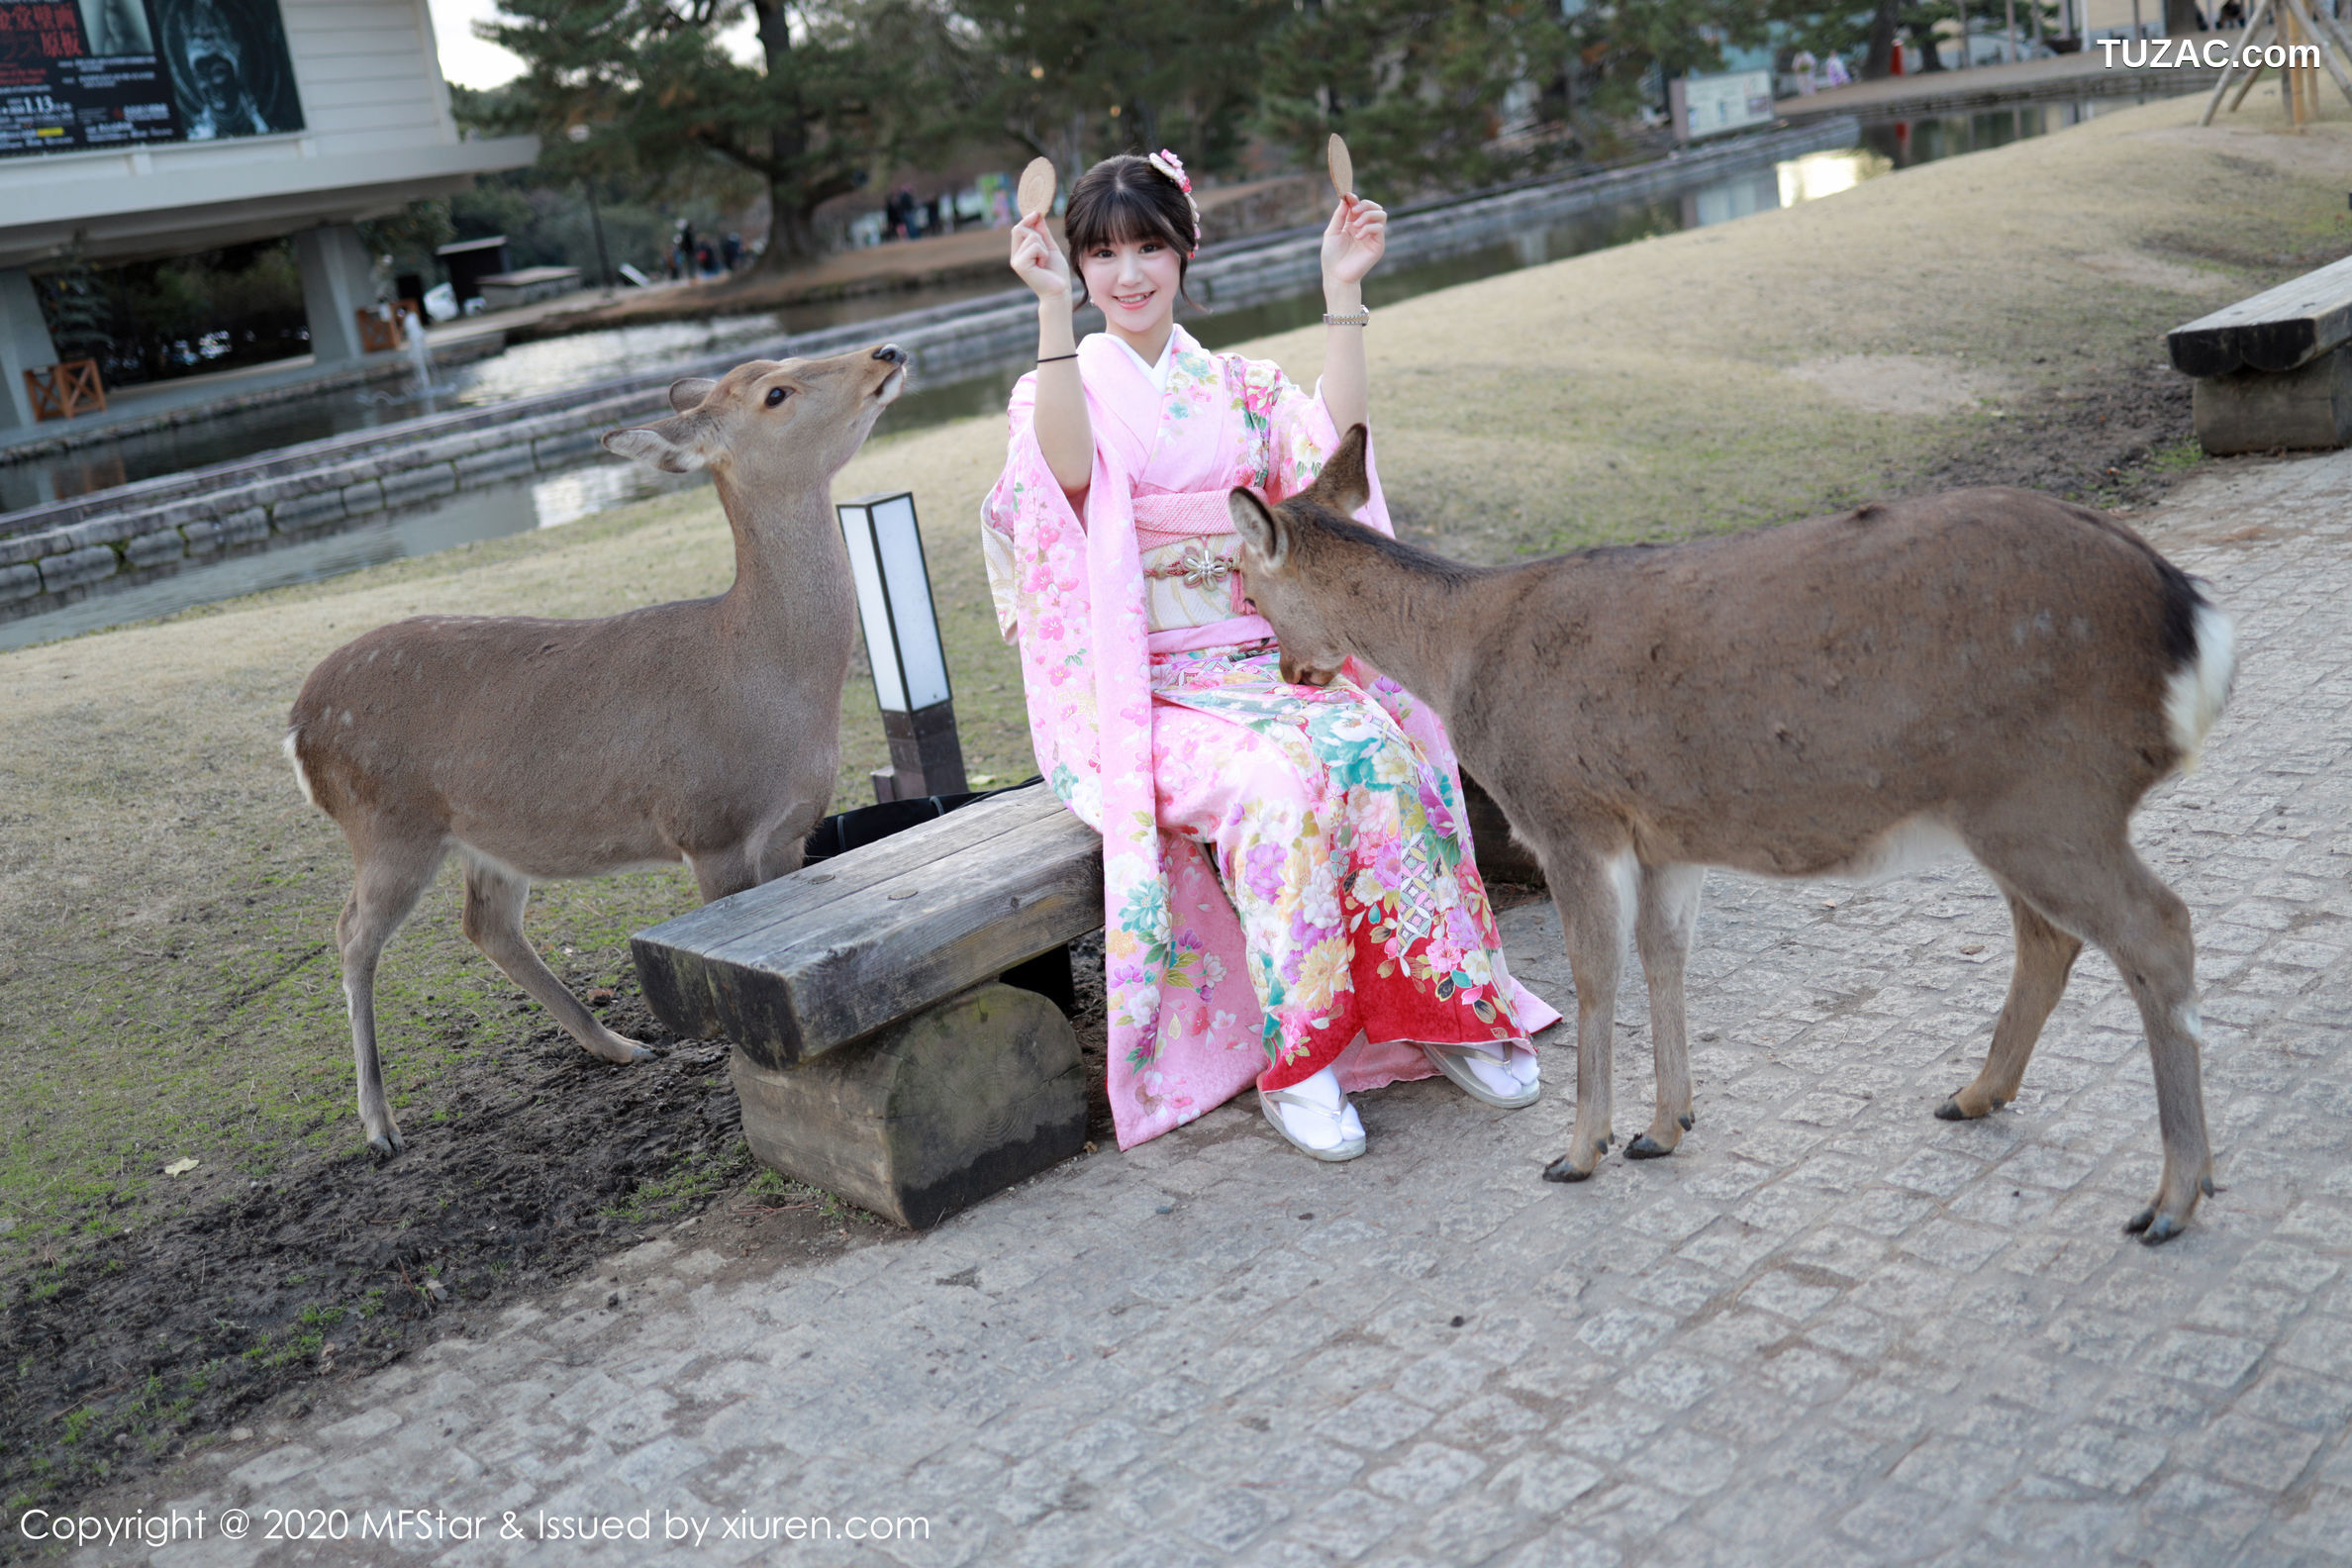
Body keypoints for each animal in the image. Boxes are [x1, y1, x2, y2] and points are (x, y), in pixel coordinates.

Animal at [274, 345, 898, 1151]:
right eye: (776, 392)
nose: (886, 352)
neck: (768, 685)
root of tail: (296, 727)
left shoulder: (792, 829)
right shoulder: (709, 825)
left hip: (484, 833)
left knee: (486, 924)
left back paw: (621, 1046)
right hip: (387, 825)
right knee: (352, 933)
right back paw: (380, 1126)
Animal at [1232, 430, 2238, 1250]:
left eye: (1246, 581)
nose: (1289, 669)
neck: (1460, 659)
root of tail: (2192, 621)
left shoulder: (1570, 814)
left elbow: (1596, 977)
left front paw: (1580, 1150)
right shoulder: (1664, 837)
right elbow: (1665, 957)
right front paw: (1664, 1126)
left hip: (2050, 790)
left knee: (2157, 928)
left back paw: (2173, 1196)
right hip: (2015, 804)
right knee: (2054, 937)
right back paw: (1975, 1094)